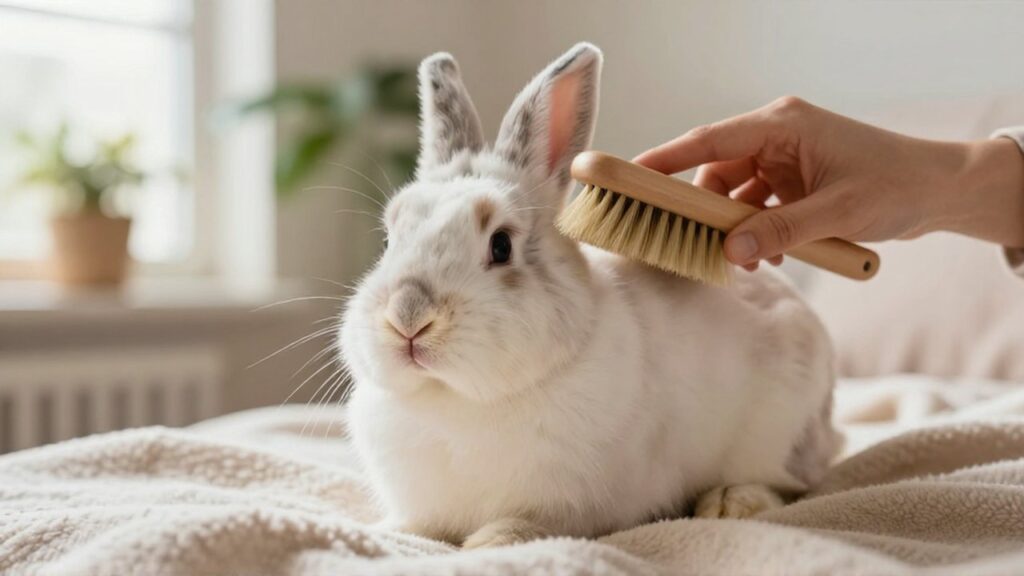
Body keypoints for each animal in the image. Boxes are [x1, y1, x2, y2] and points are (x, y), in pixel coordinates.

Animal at [338, 42, 839, 549]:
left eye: (501, 245)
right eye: (387, 241)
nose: (408, 318)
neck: (459, 401)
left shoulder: (574, 509)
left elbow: (526, 526)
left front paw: (486, 545)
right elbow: (418, 530)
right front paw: (387, 534)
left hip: (778, 430)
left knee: (793, 482)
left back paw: (729, 503)